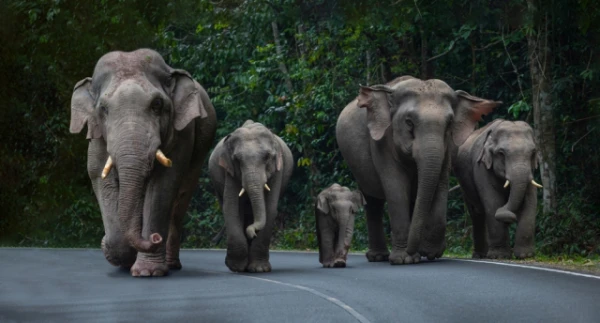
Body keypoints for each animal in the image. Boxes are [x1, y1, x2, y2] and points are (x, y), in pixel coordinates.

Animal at [70, 49, 217, 278]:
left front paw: (147, 272)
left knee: (179, 201)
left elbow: (163, 183)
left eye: (157, 105)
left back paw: (171, 264)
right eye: (103, 108)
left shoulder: (182, 133)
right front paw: (118, 254)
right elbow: (100, 177)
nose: (155, 238)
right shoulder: (96, 135)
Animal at [207, 119, 294, 274]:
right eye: (237, 159)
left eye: (267, 157)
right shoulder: (230, 171)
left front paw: (259, 269)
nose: (252, 232)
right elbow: (232, 208)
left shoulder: (279, 169)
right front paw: (236, 267)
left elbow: (270, 209)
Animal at [338, 76, 502, 266]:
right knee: (373, 202)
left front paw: (429, 252)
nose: (412, 250)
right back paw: (379, 257)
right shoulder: (381, 142)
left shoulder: (447, 149)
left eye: (449, 123)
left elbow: (440, 183)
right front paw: (404, 259)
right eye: (409, 122)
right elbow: (396, 188)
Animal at [452, 120, 540, 260]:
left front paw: (525, 255)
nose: (511, 217)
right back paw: (480, 255)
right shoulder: (481, 167)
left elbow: (530, 202)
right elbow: (493, 202)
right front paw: (499, 256)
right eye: (501, 153)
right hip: (464, 185)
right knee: (477, 214)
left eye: (533, 152)